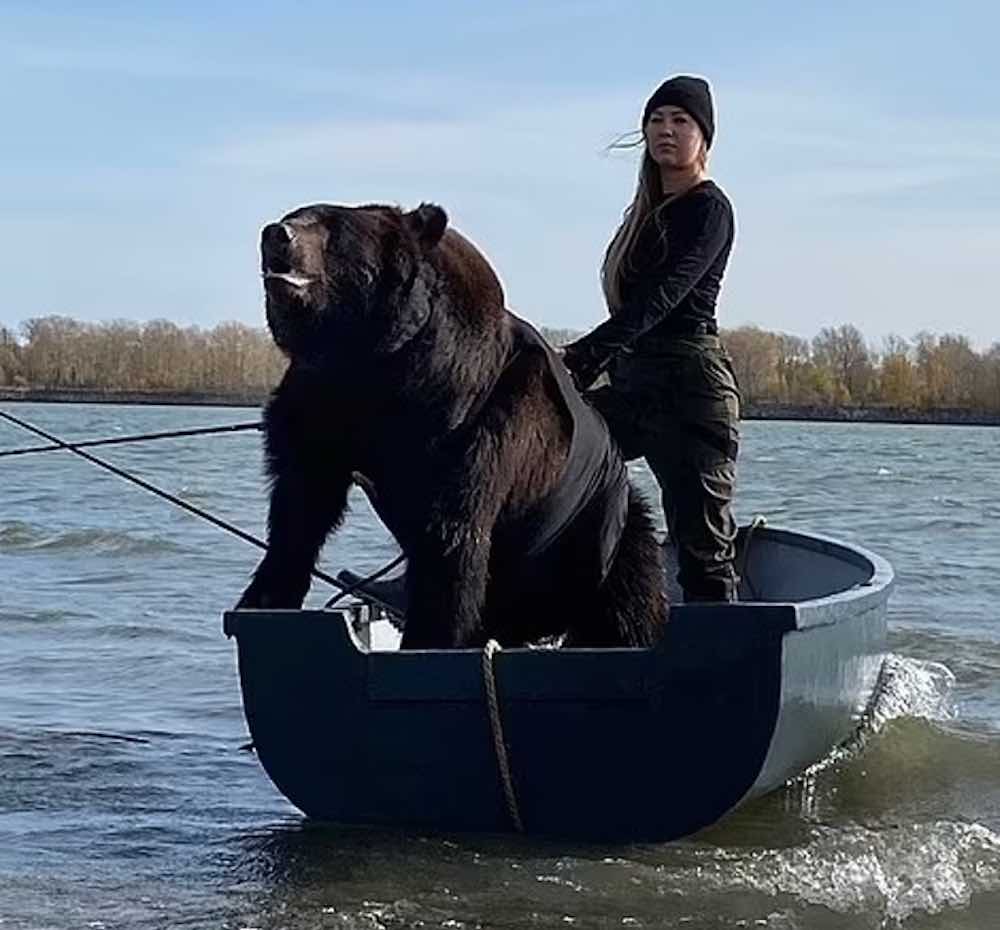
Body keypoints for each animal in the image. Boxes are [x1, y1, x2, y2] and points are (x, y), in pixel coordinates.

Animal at [238, 202, 668, 644]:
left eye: (333, 228)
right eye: (297, 213)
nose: (276, 233)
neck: (376, 360)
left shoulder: (482, 423)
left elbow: (453, 536)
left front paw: (429, 634)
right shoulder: (323, 404)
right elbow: (301, 501)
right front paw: (263, 597)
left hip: (598, 541)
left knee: (626, 606)